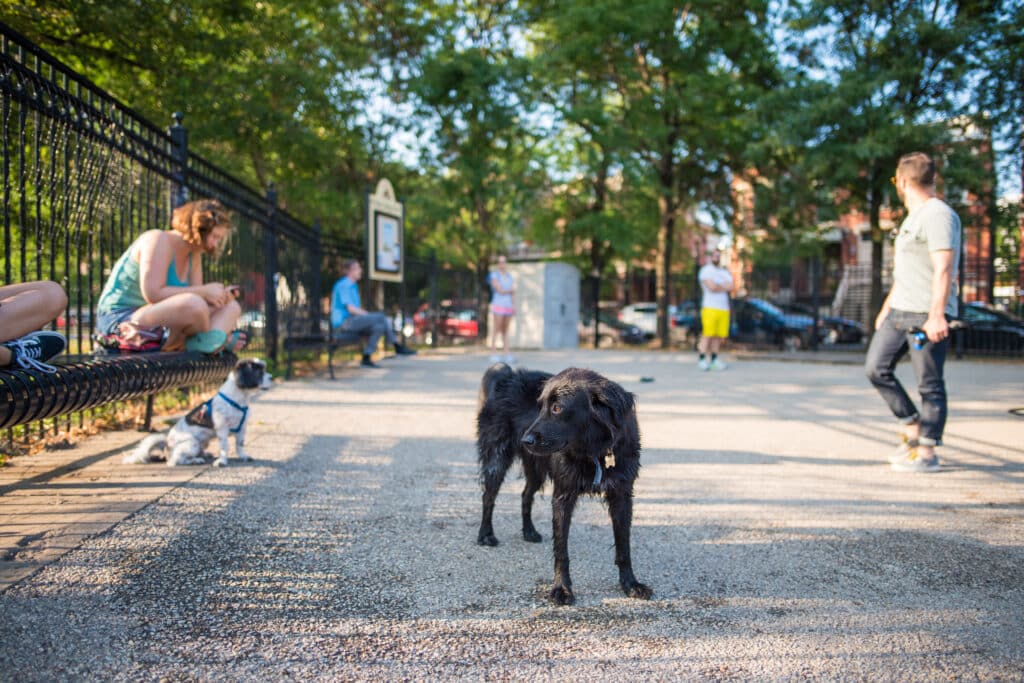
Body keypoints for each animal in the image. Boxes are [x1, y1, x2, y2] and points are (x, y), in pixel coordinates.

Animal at [124, 356, 272, 466]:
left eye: (264, 369)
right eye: (259, 372)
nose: (271, 377)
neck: (238, 399)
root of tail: (166, 445)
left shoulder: (242, 428)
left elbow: (239, 444)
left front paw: (243, 456)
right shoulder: (222, 429)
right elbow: (224, 446)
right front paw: (222, 461)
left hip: (202, 443)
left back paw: (204, 454)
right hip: (191, 443)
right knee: (176, 461)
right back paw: (195, 460)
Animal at [475, 362, 651, 602]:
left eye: (558, 408)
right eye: (540, 407)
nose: (525, 440)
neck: (594, 451)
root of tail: (507, 375)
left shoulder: (622, 496)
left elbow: (624, 546)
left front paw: (630, 584)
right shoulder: (562, 495)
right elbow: (561, 549)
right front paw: (562, 588)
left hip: (536, 468)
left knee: (525, 495)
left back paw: (529, 532)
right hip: (497, 459)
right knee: (488, 497)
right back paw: (486, 534)